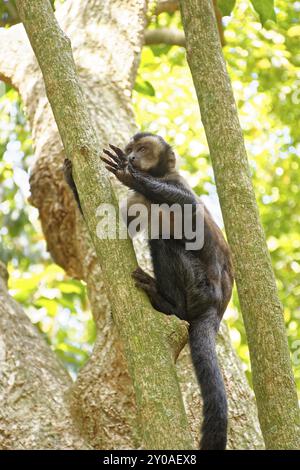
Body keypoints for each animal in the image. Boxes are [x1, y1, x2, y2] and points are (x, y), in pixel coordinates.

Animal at [63, 133, 234, 452]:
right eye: (131, 149)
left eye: (142, 150)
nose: (131, 158)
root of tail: (217, 308)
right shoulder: (137, 201)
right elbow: (106, 231)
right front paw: (70, 178)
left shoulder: (177, 182)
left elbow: (190, 207)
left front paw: (130, 174)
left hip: (199, 287)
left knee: (163, 238)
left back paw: (168, 304)